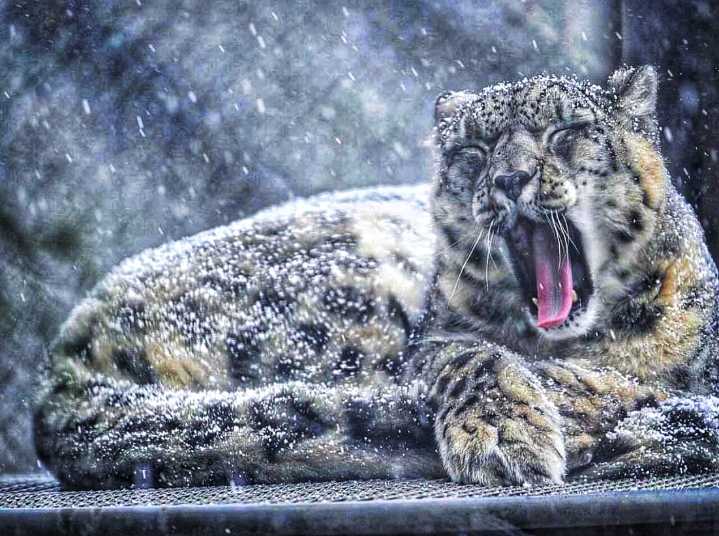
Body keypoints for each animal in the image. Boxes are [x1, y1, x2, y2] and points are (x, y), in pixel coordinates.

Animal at [34, 65, 719, 489]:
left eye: (567, 130)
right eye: (473, 150)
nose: (508, 178)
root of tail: (64, 355)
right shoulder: (432, 339)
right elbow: (468, 357)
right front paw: (505, 435)